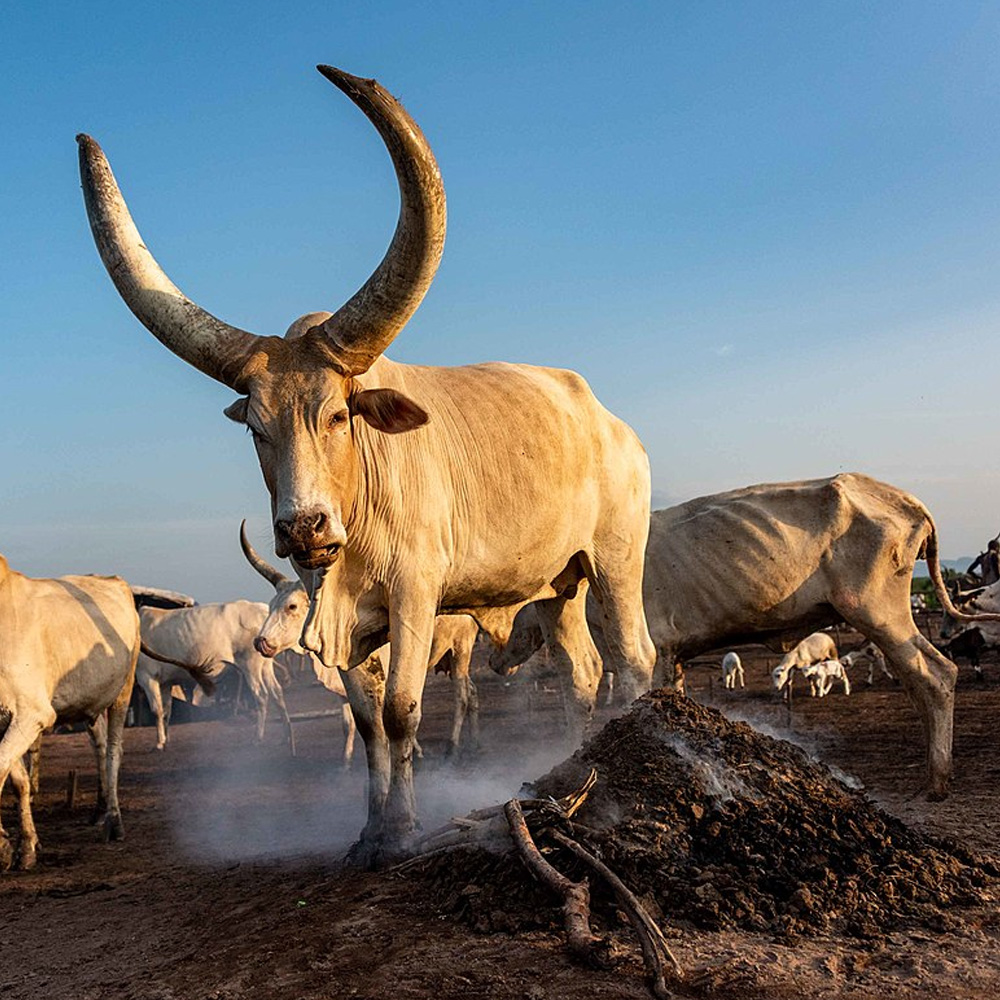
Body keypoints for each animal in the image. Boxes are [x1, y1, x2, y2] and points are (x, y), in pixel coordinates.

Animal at [0, 555, 141, 869]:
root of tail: (115, 580)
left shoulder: (32, 713)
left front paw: (5, 846)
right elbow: (18, 780)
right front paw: (25, 845)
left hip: (123, 691)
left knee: (114, 750)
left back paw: (113, 820)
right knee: (100, 744)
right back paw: (100, 808)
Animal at [138, 601, 292, 748]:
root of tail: (260, 608)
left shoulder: (147, 677)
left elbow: (156, 710)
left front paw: (159, 742)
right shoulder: (166, 682)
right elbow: (166, 711)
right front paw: (166, 740)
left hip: (250, 665)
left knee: (261, 696)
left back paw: (257, 737)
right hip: (265, 665)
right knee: (277, 692)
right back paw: (285, 735)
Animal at [240, 522, 481, 758]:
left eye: (292, 606)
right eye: (271, 605)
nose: (260, 642)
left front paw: (415, 752)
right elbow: (348, 724)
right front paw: (346, 760)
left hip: (461, 648)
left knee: (461, 695)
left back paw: (453, 745)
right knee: (471, 691)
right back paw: (473, 737)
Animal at [489, 474, 1000, 799]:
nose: (493, 661)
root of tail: (905, 499)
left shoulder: (657, 647)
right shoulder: (674, 657)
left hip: (877, 609)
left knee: (936, 673)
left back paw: (936, 781)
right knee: (918, 679)